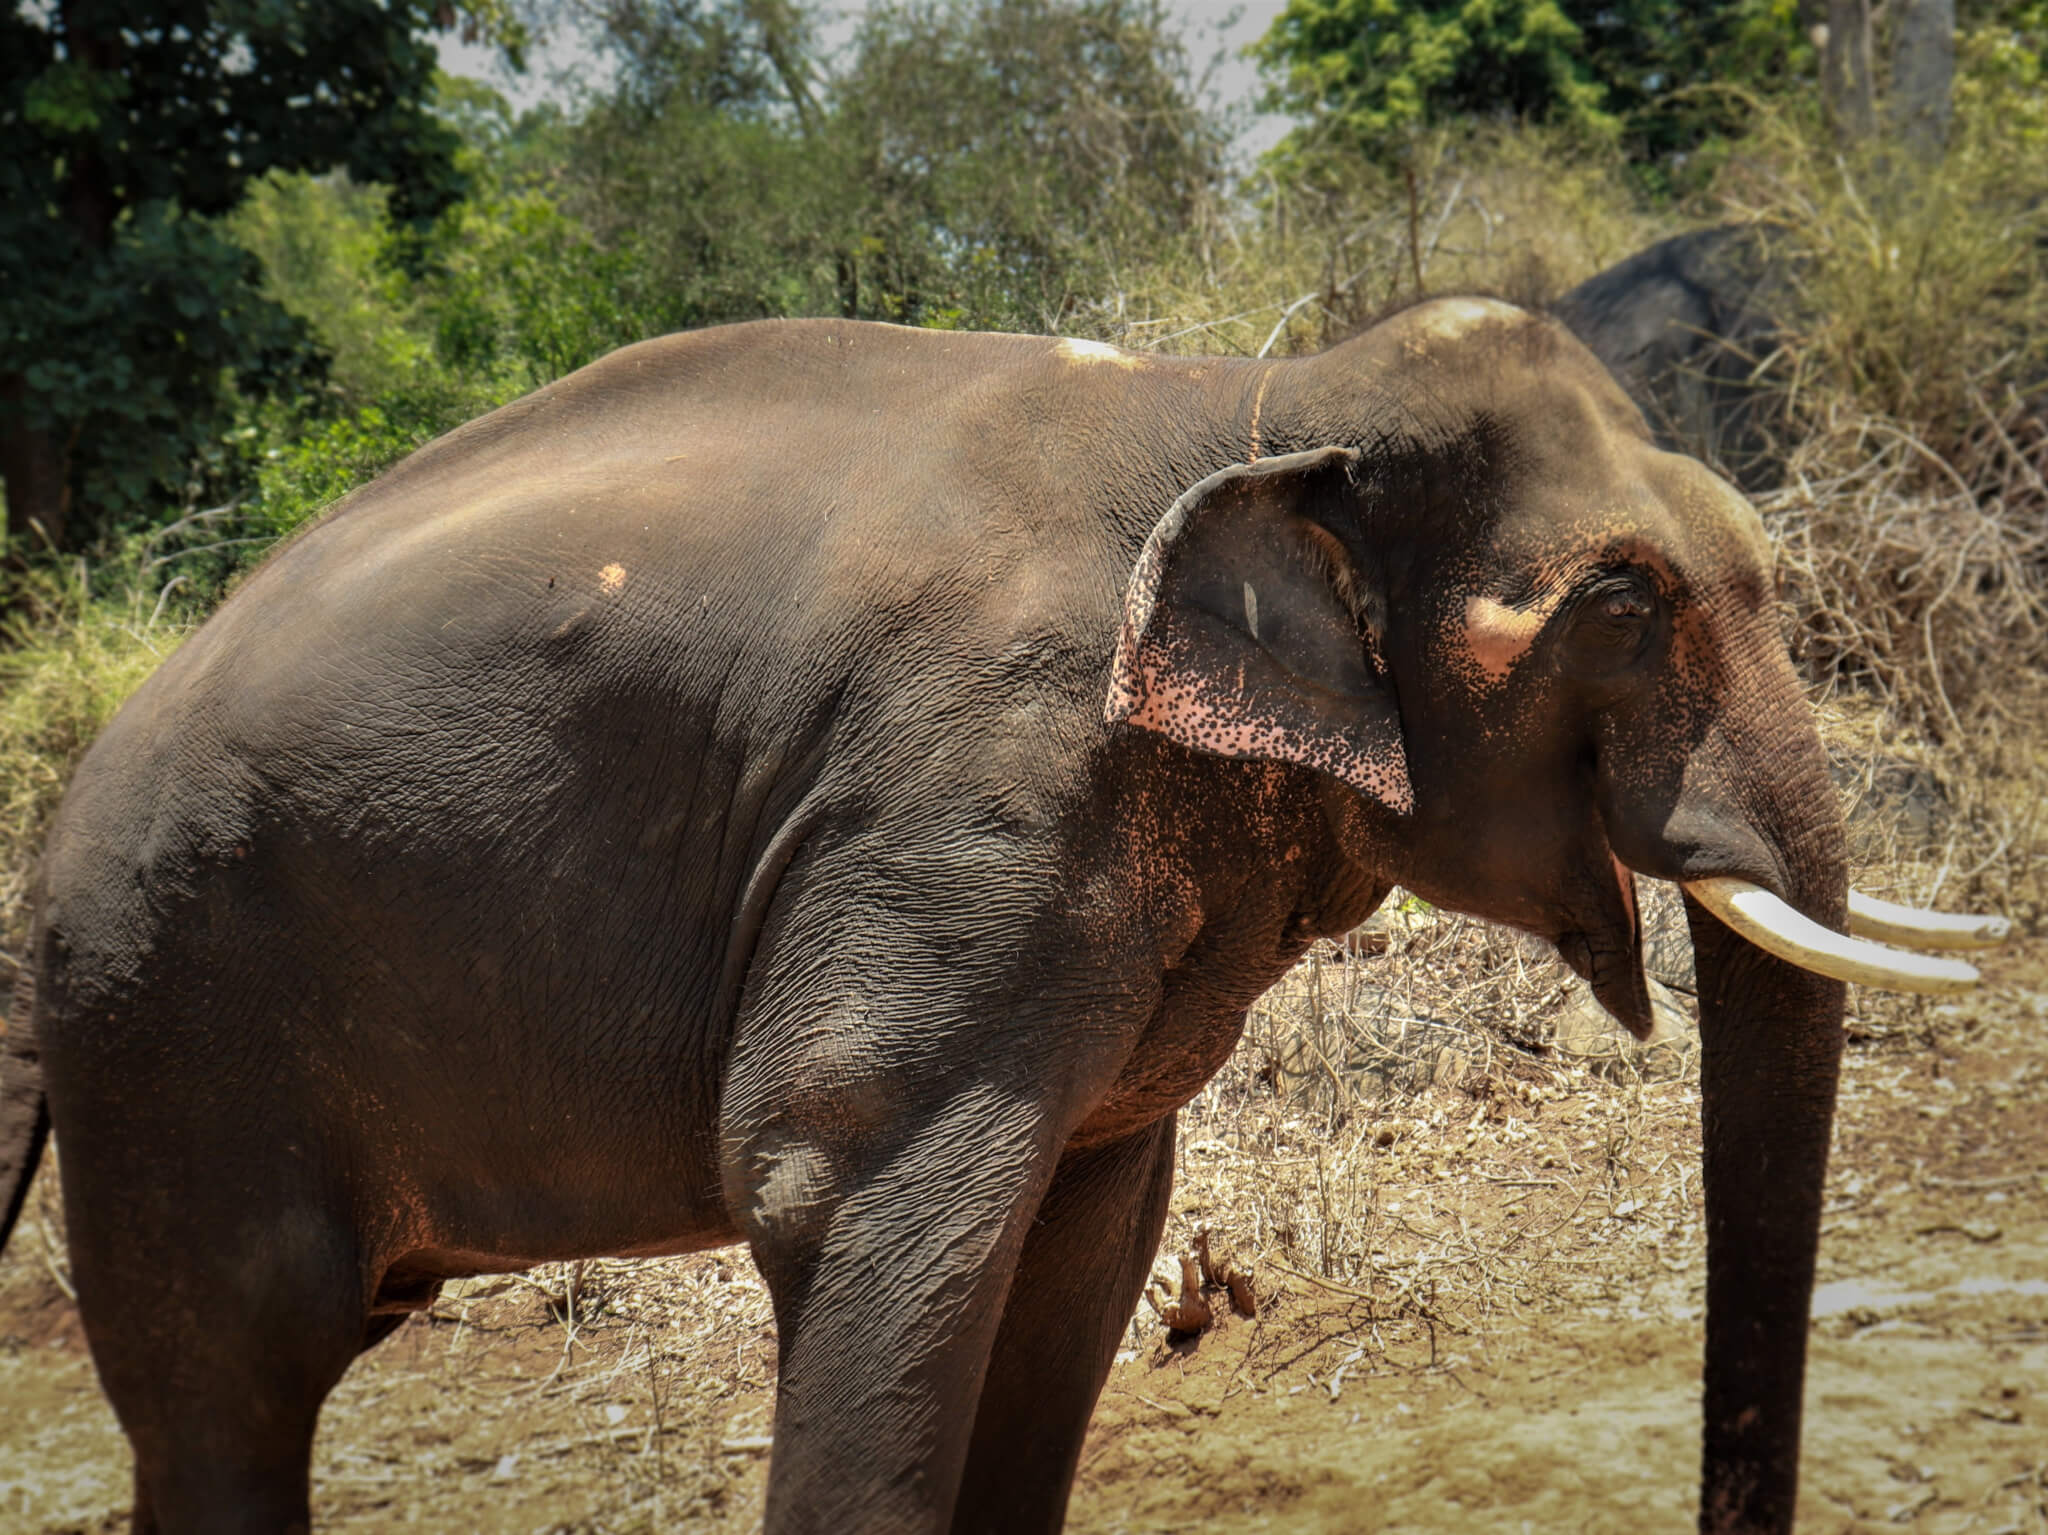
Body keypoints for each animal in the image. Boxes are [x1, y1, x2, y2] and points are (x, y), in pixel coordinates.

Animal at [0, 294, 2007, 1530]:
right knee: (230, 1387)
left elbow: (1091, 1224)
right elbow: (837, 1181)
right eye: (1616, 601)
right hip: (174, 1034)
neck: (1259, 398)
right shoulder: (969, 801)